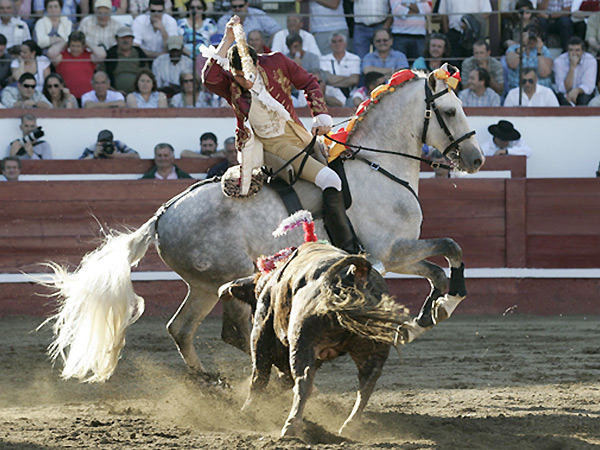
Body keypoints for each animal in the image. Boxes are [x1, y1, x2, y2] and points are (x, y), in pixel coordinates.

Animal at [43, 66, 482, 384]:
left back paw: (214, 379)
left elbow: (438, 270)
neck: (379, 164)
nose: (476, 159)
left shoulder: (399, 254)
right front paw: (443, 305)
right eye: (449, 111)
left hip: (203, 287)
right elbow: (452, 246)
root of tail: (161, 215)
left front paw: (428, 315)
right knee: (235, 330)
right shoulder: (390, 250)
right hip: (233, 278)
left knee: (181, 328)